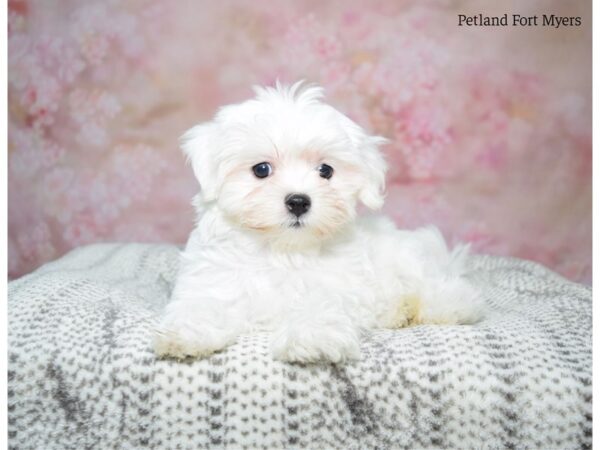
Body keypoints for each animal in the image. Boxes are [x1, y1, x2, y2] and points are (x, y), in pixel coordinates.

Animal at [155, 80, 482, 362]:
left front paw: (311, 339)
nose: (299, 201)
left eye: (325, 170)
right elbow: (202, 305)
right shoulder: (213, 280)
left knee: (454, 291)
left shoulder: (338, 286)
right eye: (261, 169)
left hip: (414, 265)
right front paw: (184, 334)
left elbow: (320, 304)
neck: (282, 251)